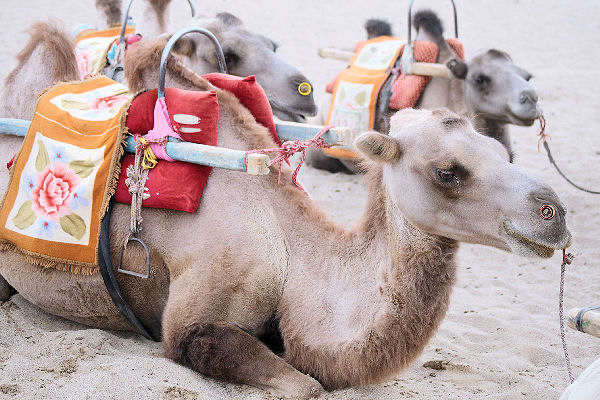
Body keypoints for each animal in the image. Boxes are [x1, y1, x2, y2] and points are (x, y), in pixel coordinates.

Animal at [0, 26, 572, 398]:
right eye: (448, 172)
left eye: (502, 152)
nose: (553, 213)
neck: (292, 253)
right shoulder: (191, 324)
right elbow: (306, 386)